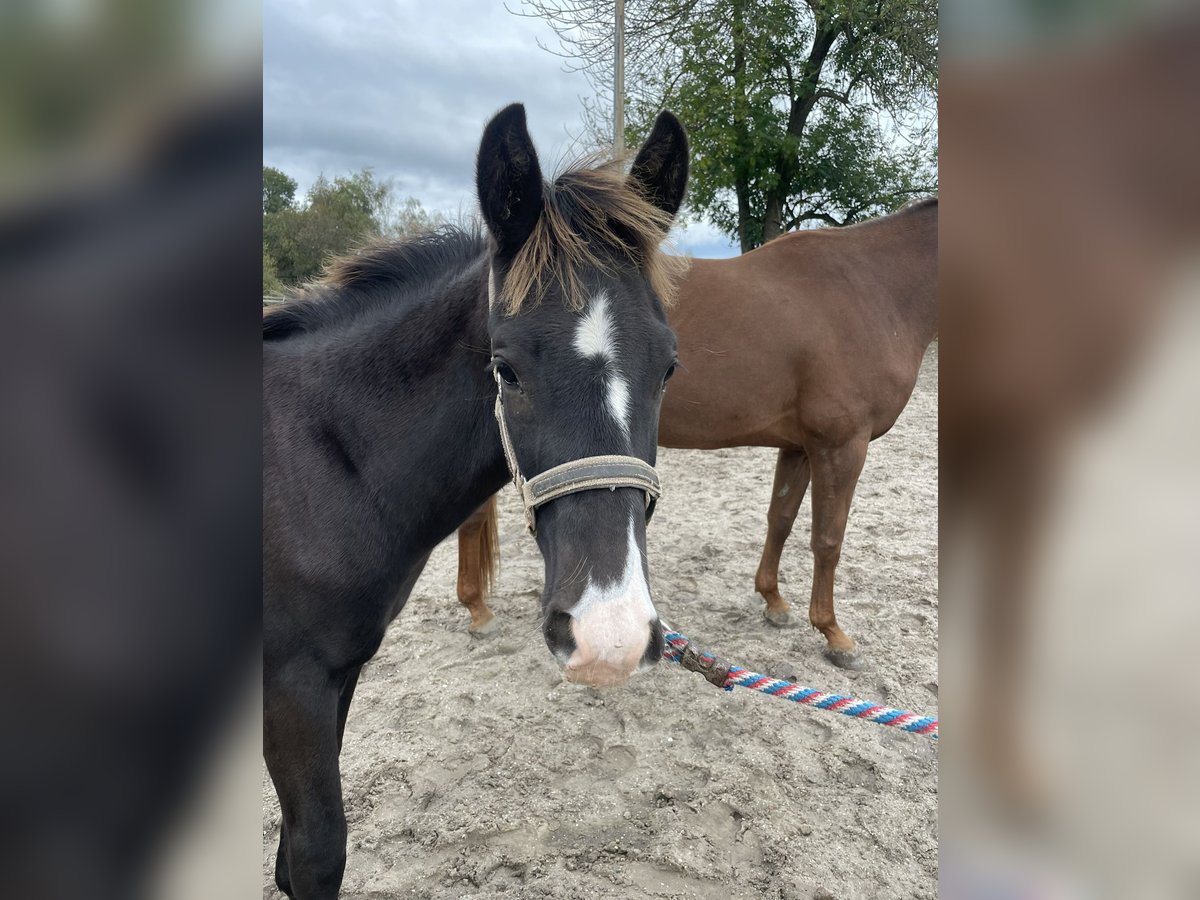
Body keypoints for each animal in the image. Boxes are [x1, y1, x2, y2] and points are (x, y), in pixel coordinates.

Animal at [458, 202, 936, 672]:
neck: (868, 288)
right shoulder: (842, 445)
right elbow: (828, 540)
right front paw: (834, 635)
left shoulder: (799, 447)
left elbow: (780, 520)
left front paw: (774, 601)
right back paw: (477, 610)